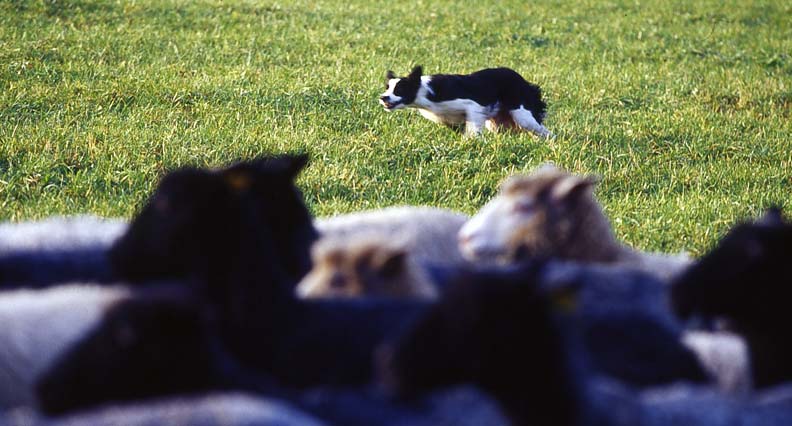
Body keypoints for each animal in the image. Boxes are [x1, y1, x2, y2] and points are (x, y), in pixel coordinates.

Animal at [378, 65, 552, 137]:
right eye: (387, 88)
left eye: (399, 90)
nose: (383, 97)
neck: (424, 91)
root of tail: (524, 82)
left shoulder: (473, 105)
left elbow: (473, 130)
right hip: (497, 122)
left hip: (522, 115)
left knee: (546, 132)